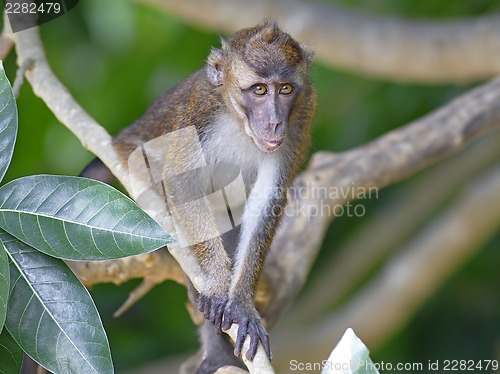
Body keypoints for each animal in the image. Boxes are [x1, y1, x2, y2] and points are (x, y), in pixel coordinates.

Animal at [82, 21, 316, 374]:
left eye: (285, 89)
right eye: (260, 90)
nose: (275, 122)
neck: (237, 121)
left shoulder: (300, 120)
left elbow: (268, 200)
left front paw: (241, 302)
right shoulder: (200, 109)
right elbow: (182, 183)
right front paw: (218, 284)